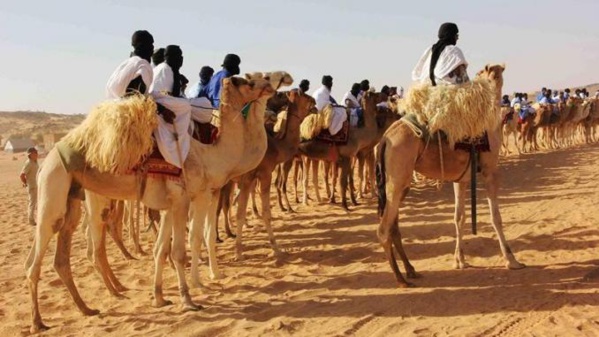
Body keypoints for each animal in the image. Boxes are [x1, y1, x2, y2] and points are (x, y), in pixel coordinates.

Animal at [25, 75, 274, 330]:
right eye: (248, 81)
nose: (269, 84)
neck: (209, 156)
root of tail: (47, 159)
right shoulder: (183, 199)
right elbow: (179, 252)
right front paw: (189, 299)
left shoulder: (169, 205)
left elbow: (161, 250)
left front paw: (159, 297)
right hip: (54, 187)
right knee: (38, 258)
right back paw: (38, 322)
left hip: (73, 198)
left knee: (62, 255)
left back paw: (89, 308)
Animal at [378, 63, 524, 286]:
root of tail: (385, 139)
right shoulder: (490, 171)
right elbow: (495, 217)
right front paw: (512, 260)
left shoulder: (461, 179)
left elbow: (459, 217)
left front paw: (460, 260)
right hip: (397, 178)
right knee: (384, 229)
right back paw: (401, 279)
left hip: (399, 182)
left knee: (394, 225)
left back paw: (411, 270)